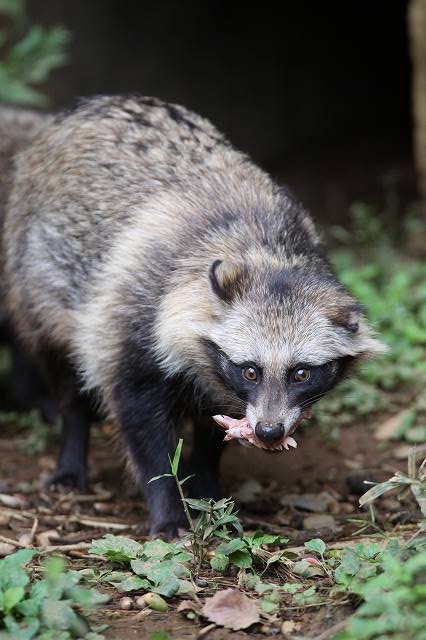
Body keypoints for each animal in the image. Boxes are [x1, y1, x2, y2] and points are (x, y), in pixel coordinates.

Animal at [2, 95, 382, 536]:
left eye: (301, 373)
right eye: (251, 370)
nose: (269, 431)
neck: (264, 254)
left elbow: (213, 430)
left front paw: (209, 487)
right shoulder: (132, 314)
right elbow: (142, 426)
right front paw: (167, 505)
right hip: (38, 278)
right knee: (64, 373)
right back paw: (72, 449)